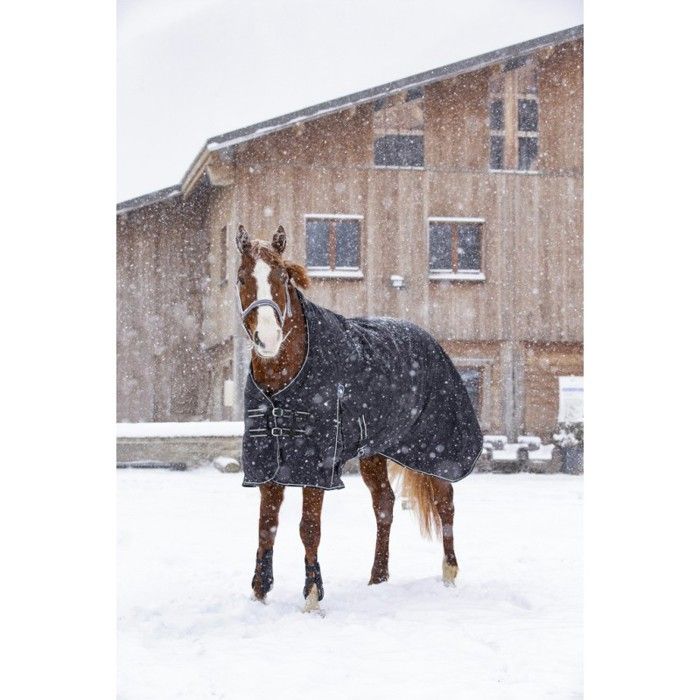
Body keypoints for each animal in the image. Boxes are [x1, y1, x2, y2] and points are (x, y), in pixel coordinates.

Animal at [235, 225, 482, 612]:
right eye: (242, 277)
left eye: (282, 277)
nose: (268, 338)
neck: (284, 377)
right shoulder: (267, 460)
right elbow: (266, 527)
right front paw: (259, 595)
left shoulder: (317, 464)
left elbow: (308, 528)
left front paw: (312, 598)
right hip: (374, 453)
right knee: (384, 505)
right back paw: (377, 578)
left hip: (434, 450)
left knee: (446, 504)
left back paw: (449, 576)